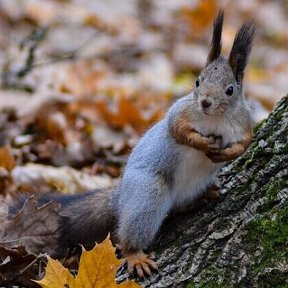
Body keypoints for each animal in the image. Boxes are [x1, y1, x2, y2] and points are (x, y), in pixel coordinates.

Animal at [11, 10, 255, 276]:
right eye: (198, 81)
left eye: (230, 89)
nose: (205, 102)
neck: (215, 118)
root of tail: (120, 198)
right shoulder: (182, 111)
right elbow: (177, 129)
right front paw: (201, 142)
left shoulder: (244, 123)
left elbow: (245, 144)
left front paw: (228, 153)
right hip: (148, 194)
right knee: (127, 236)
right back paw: (135, 255)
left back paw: (202, 197)